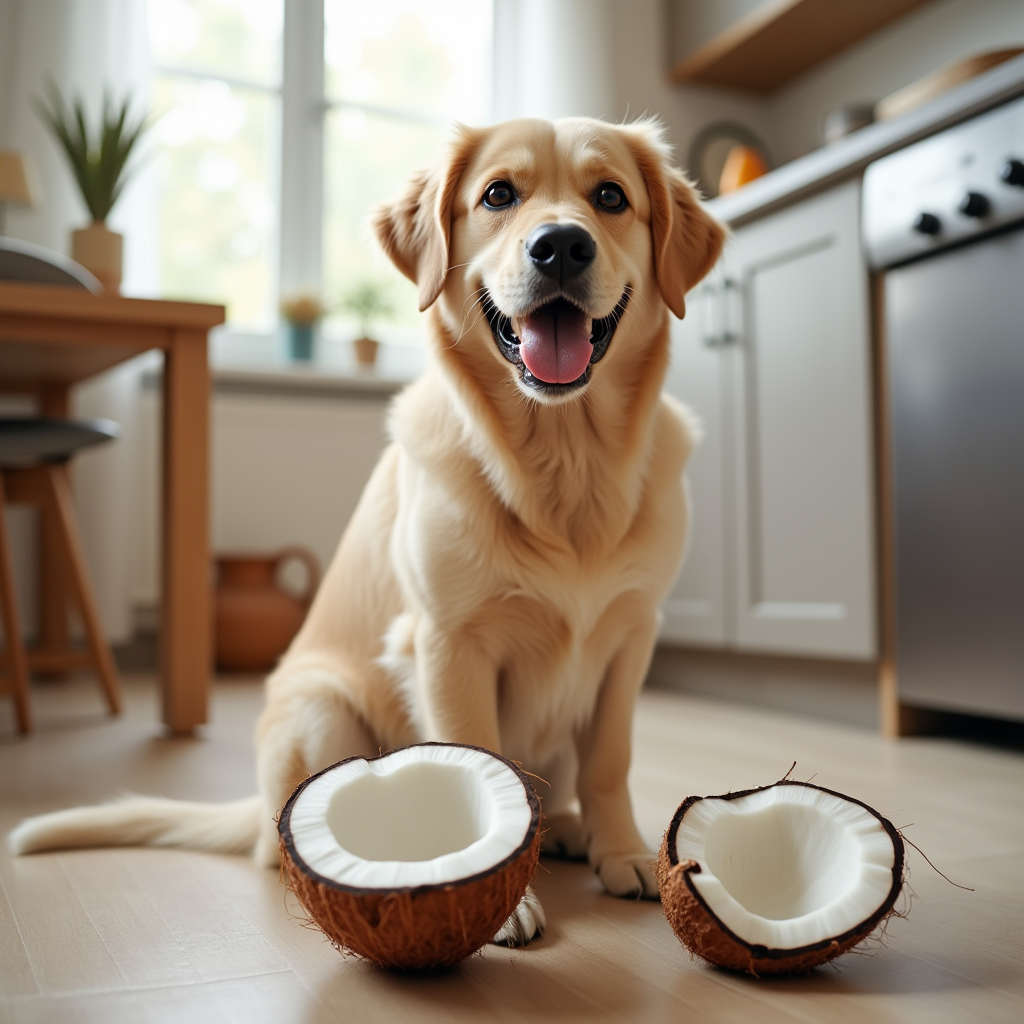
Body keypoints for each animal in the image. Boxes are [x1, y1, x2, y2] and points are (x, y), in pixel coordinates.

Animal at [9, 116, 729, 946]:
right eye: (498, 195)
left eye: (610, 197)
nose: (560, 246)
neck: (564, 466)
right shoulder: (447, 642)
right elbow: (483, 758)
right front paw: (501, 893)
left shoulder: (632, 634)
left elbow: (610, 759)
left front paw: (624, 851)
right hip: (322, 708)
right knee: (279, 838)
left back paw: (574, 830)